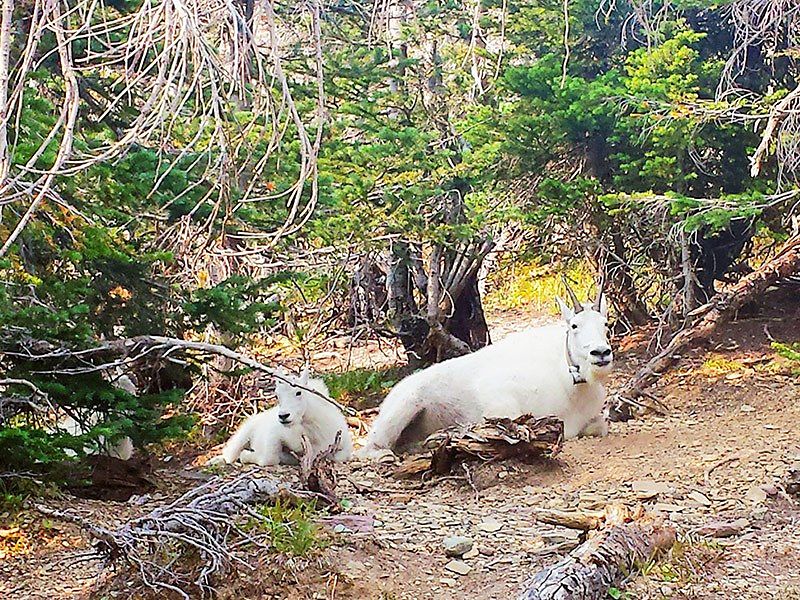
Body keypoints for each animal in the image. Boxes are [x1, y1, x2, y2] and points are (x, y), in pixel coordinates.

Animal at [211, 366, 352, 468]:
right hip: (245, 432)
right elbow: (269, 458)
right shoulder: (275, 433)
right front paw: (245, 455)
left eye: (299, 392)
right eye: (277, 395)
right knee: (230, 452)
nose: (283, 416)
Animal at [360, 278, 616, 458]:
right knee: (371, 447)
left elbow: (601, 426)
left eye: (605, 324)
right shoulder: (500, 400)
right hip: (403, 408)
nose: (601, 353)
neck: (571, 383)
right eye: (574, 325)